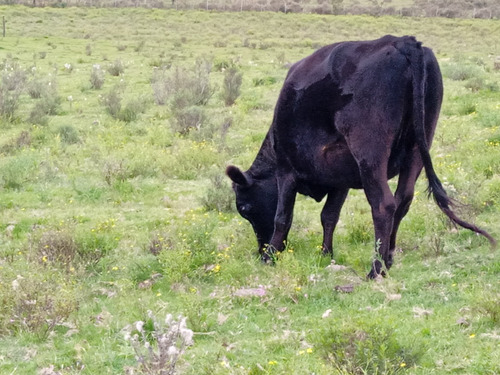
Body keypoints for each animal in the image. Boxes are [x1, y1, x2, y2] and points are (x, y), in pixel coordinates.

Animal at [228, 35, 496, 280]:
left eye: (245, 208)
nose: (259, 249)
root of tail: (403, 41)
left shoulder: (287, 170)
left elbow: (283, 216)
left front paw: (271, 256)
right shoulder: (340, 179)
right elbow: (329, 216)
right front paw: (326, 253)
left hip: (370, 151)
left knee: (384, 204)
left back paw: (376, 269)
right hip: (418, 146)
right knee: (402, 200)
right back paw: (388, 260)